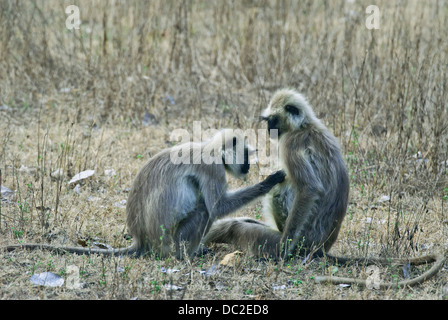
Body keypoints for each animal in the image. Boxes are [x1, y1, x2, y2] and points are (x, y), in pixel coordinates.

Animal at [1, 129, 286, 258]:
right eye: (246, 154)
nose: (248, 165)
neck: (210, 149)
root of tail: (140, 238)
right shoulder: (211, 167)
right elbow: (218, 207)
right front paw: (269, 182)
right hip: (170, 241)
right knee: (204, 210)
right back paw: (189, 255)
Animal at [206, 89, 444, 288]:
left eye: (273, 119)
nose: (269, 129)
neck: (305, 126)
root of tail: (322, 249)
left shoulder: (291, 143)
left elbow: (310, 189)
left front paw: (283, 249)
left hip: (301, 244)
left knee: (241, 224)